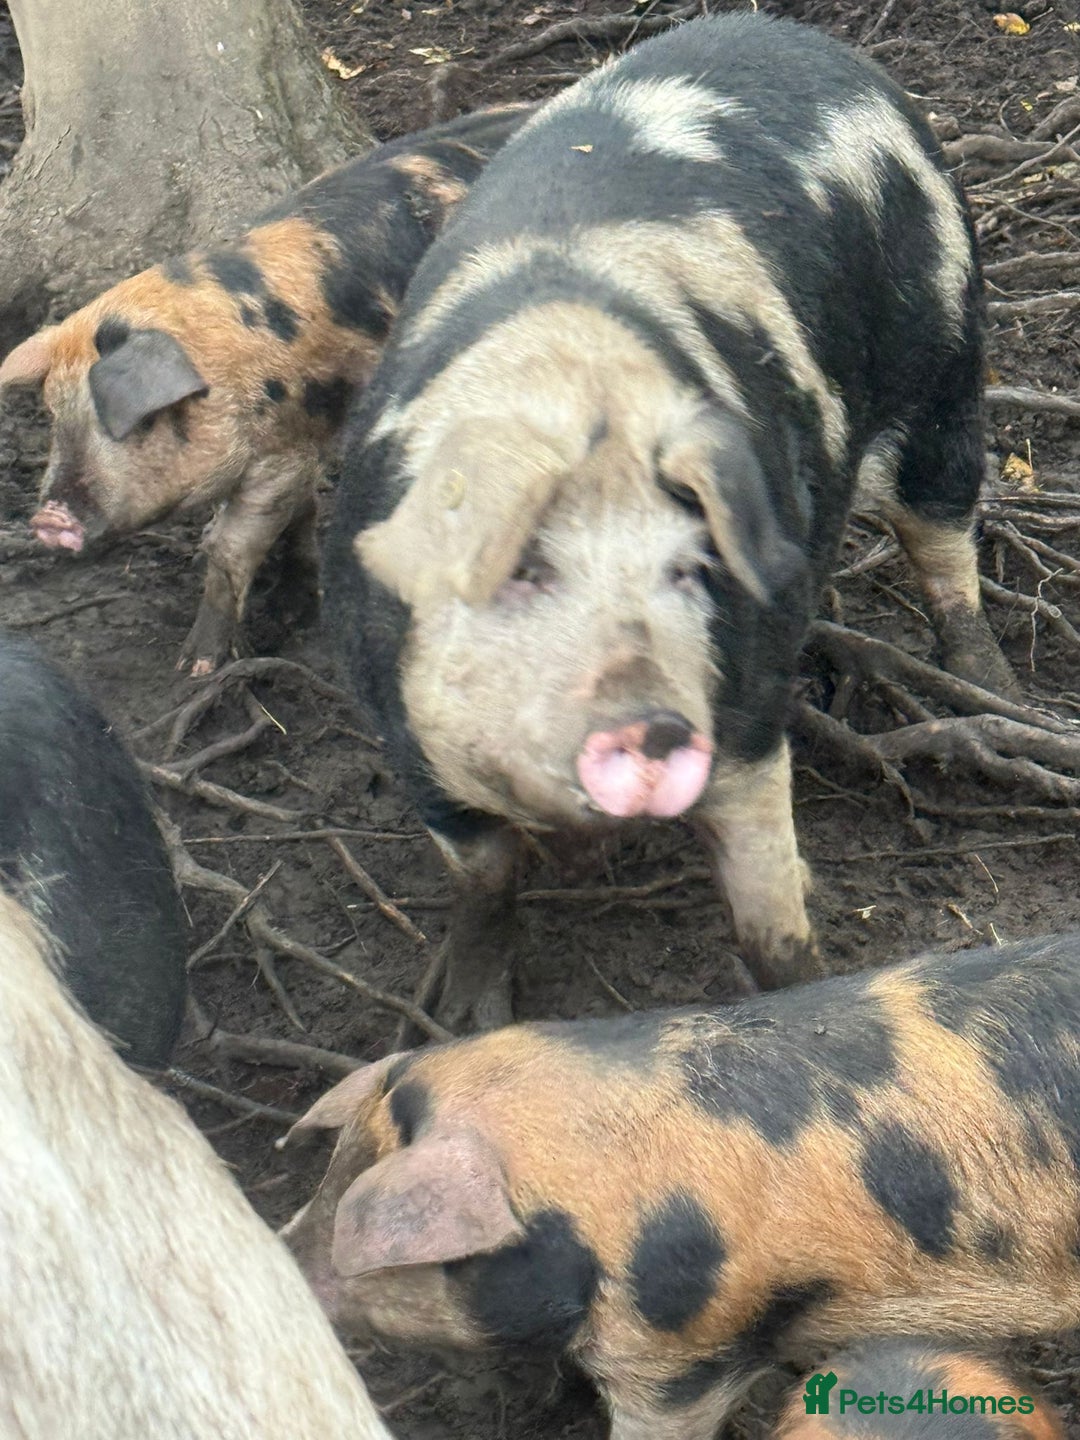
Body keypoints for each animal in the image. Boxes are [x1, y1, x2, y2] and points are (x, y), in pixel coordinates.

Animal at [0, 103, 532, 676]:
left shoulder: (282, 454)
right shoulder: (297, 448)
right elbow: (299, 517)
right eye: (54, 414)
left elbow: (232, 548)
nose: (48, 518)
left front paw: (196, 668)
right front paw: (288, 612)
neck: (227, 376)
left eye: (137, 422)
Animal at [322, 11, 1019, 1029]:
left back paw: (992, 689)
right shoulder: (401, 724)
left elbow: (771, 924)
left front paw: (804, 991)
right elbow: (484, 879)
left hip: (944, 337)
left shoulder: (746, 710)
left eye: (690, 569)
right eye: (524, 571)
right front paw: (464, 1016)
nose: (648, 723)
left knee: (942, 522)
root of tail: (810, 40)